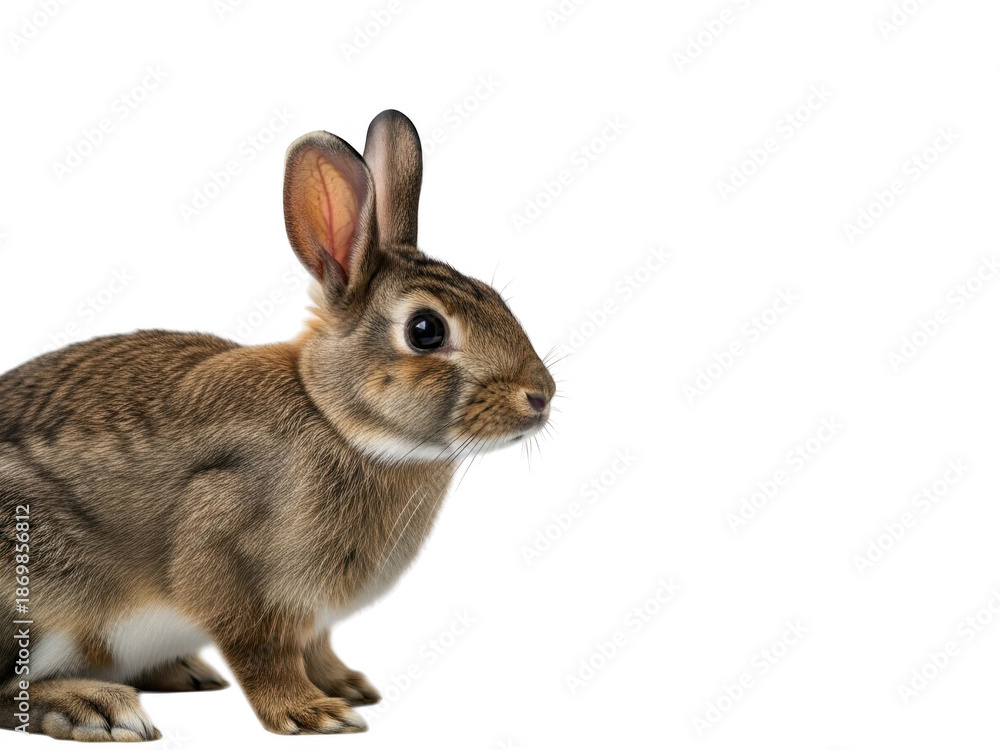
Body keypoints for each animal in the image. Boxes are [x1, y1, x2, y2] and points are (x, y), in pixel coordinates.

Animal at [0, 110, 555, 741]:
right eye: (425, 330)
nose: (541, 396)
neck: (333, 417)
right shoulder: (233, 565)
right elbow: (263, 653)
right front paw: (313, 713)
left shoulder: (315, 619)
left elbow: (317, 647)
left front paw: (348, 687)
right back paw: (97, 707)